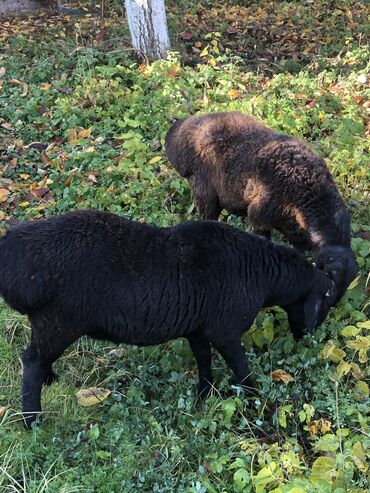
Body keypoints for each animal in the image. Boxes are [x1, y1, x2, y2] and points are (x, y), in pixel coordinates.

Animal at [0, 209, 336, 428]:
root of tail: (12, 256)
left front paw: (204, 396)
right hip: (60, 320)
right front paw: (255, 402)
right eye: (326, 301)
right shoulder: (225, 331)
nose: (307, 337)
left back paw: (50, 381)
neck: (263, 274)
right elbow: (241, 370)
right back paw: (32, 421)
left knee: (39, 358)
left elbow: (203, 360)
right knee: (31, 361)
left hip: (49, 323)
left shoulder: (197, 328)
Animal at [165, 112, 358, 302]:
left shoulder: (296, 234)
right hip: (204, 192)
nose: (333, 305)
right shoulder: (259, 219)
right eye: (330, 277)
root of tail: (181, 128)